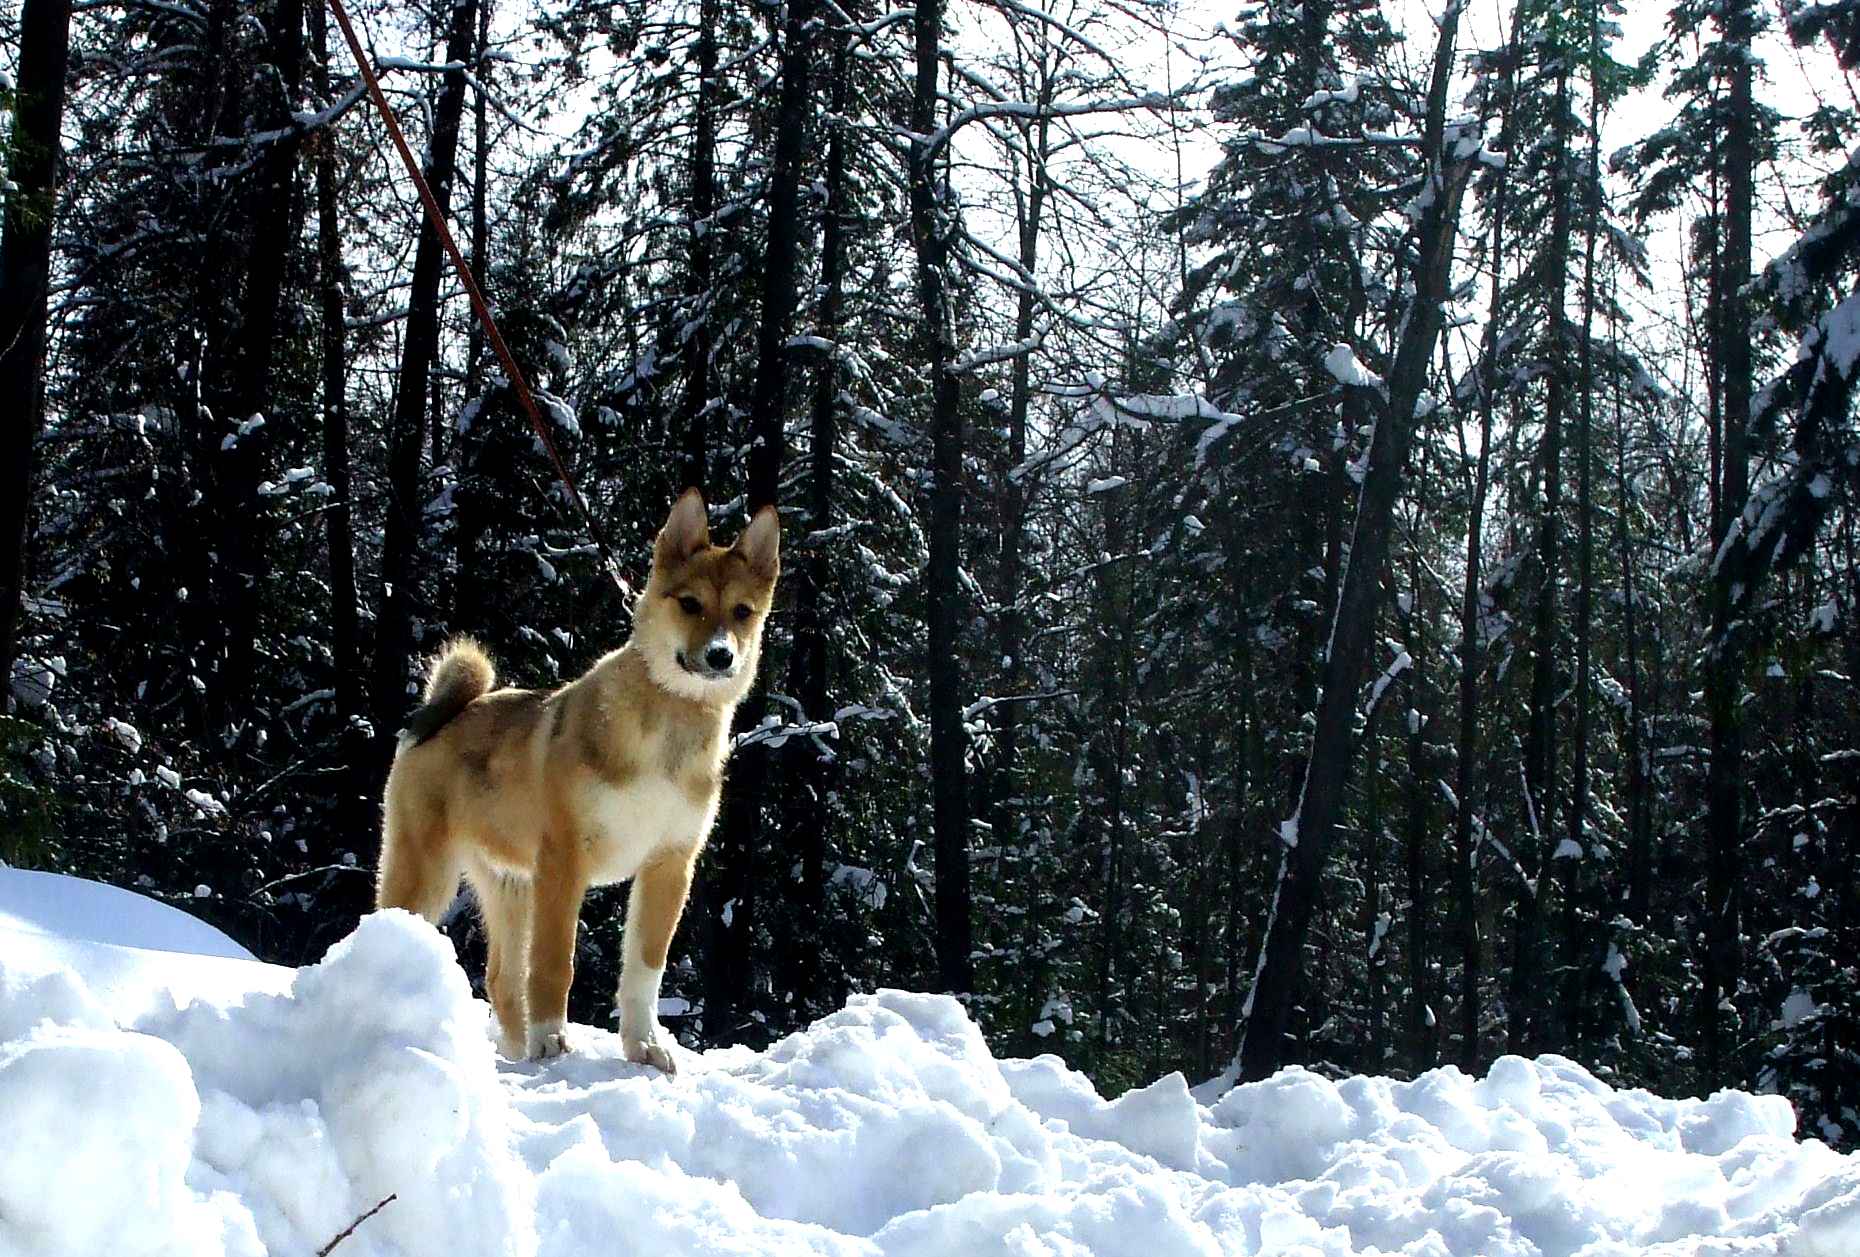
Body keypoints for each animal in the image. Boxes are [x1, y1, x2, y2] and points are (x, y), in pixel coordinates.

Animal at [373, 490, 781, 1071]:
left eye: (743, 611)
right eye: (690, 603)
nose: (722, 655)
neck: (668, 726)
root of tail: (447, 711)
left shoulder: (669, 866)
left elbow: (645, 969)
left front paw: (644, 1045)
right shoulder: (565, 862)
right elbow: (554, 963)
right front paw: (552, 1041)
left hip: (510, 885)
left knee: (502, 980)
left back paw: (514, 1055)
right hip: (426, 870)